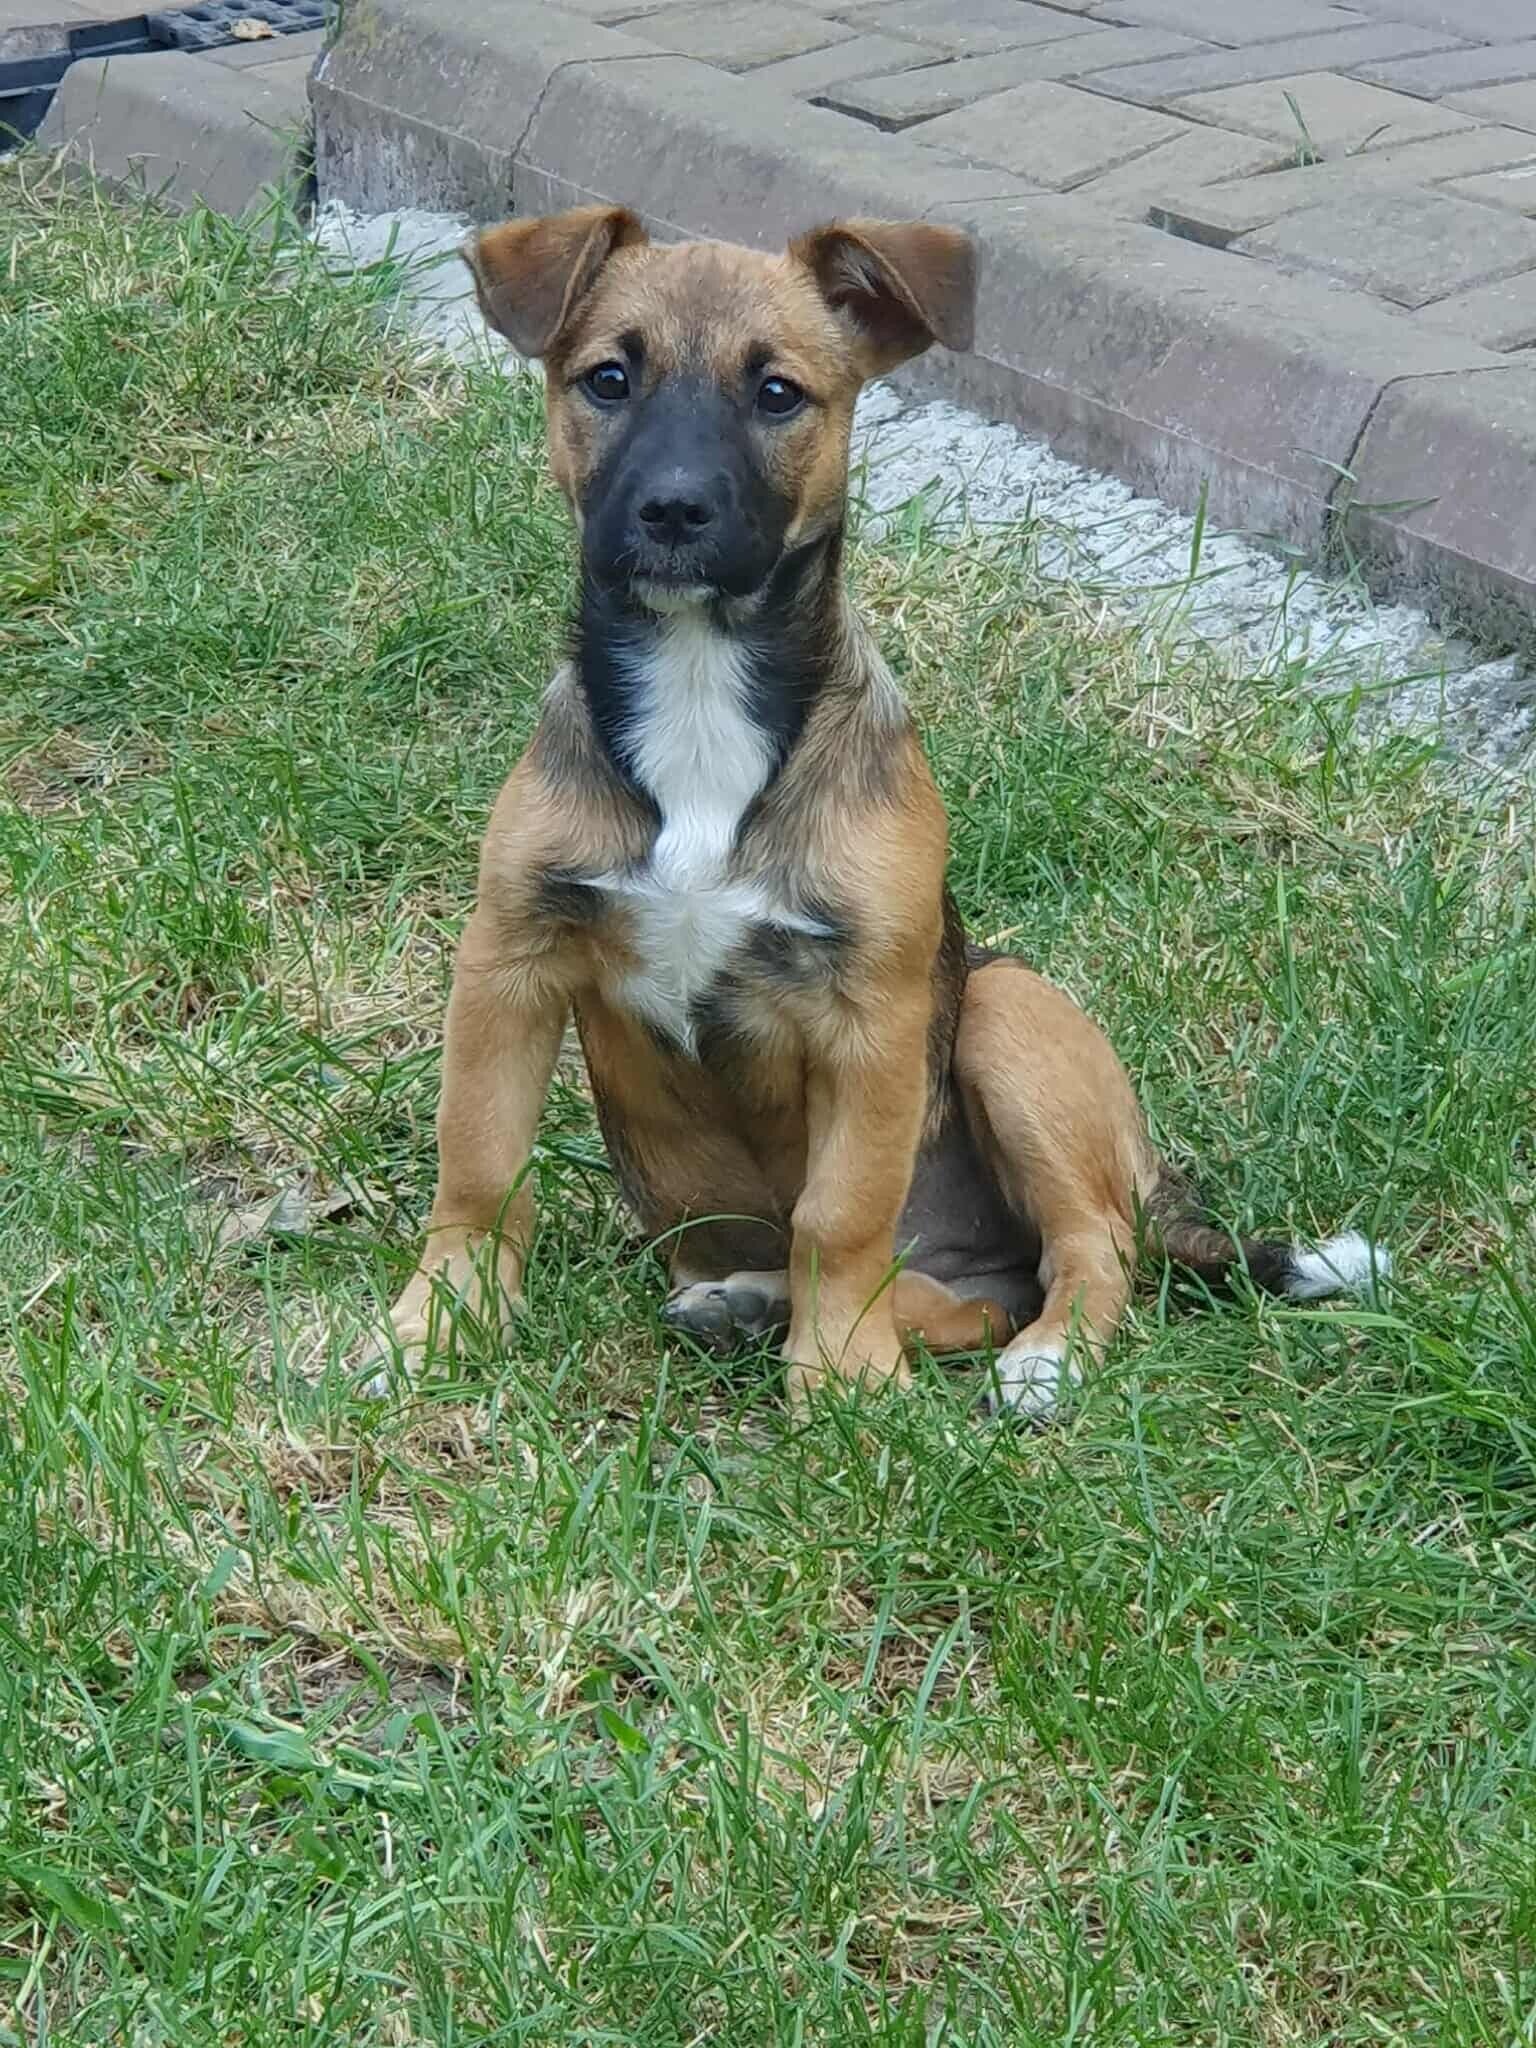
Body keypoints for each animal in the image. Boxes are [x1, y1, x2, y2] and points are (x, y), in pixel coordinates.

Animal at [372, 204, 1385, 1415]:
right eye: (607, 379)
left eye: (777, 393)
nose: (672, 509)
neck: (701, 695)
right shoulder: (510, 959)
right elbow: (480, 1168)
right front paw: (438, 1325)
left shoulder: (872, 1015)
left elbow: (840, 1214)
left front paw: (844, 1383)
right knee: (972, 1296)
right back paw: (753, 1301)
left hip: (1008, 1014)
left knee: (1083, 1248)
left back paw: (1036, 1358)